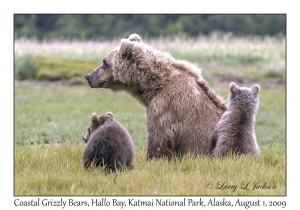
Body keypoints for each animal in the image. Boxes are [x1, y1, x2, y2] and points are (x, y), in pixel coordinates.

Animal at [84, 34, 225, 159]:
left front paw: (152, 158)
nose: (88, 76)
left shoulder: (166, 105)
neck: (154, 85)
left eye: (104, 62)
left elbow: (158, 136)